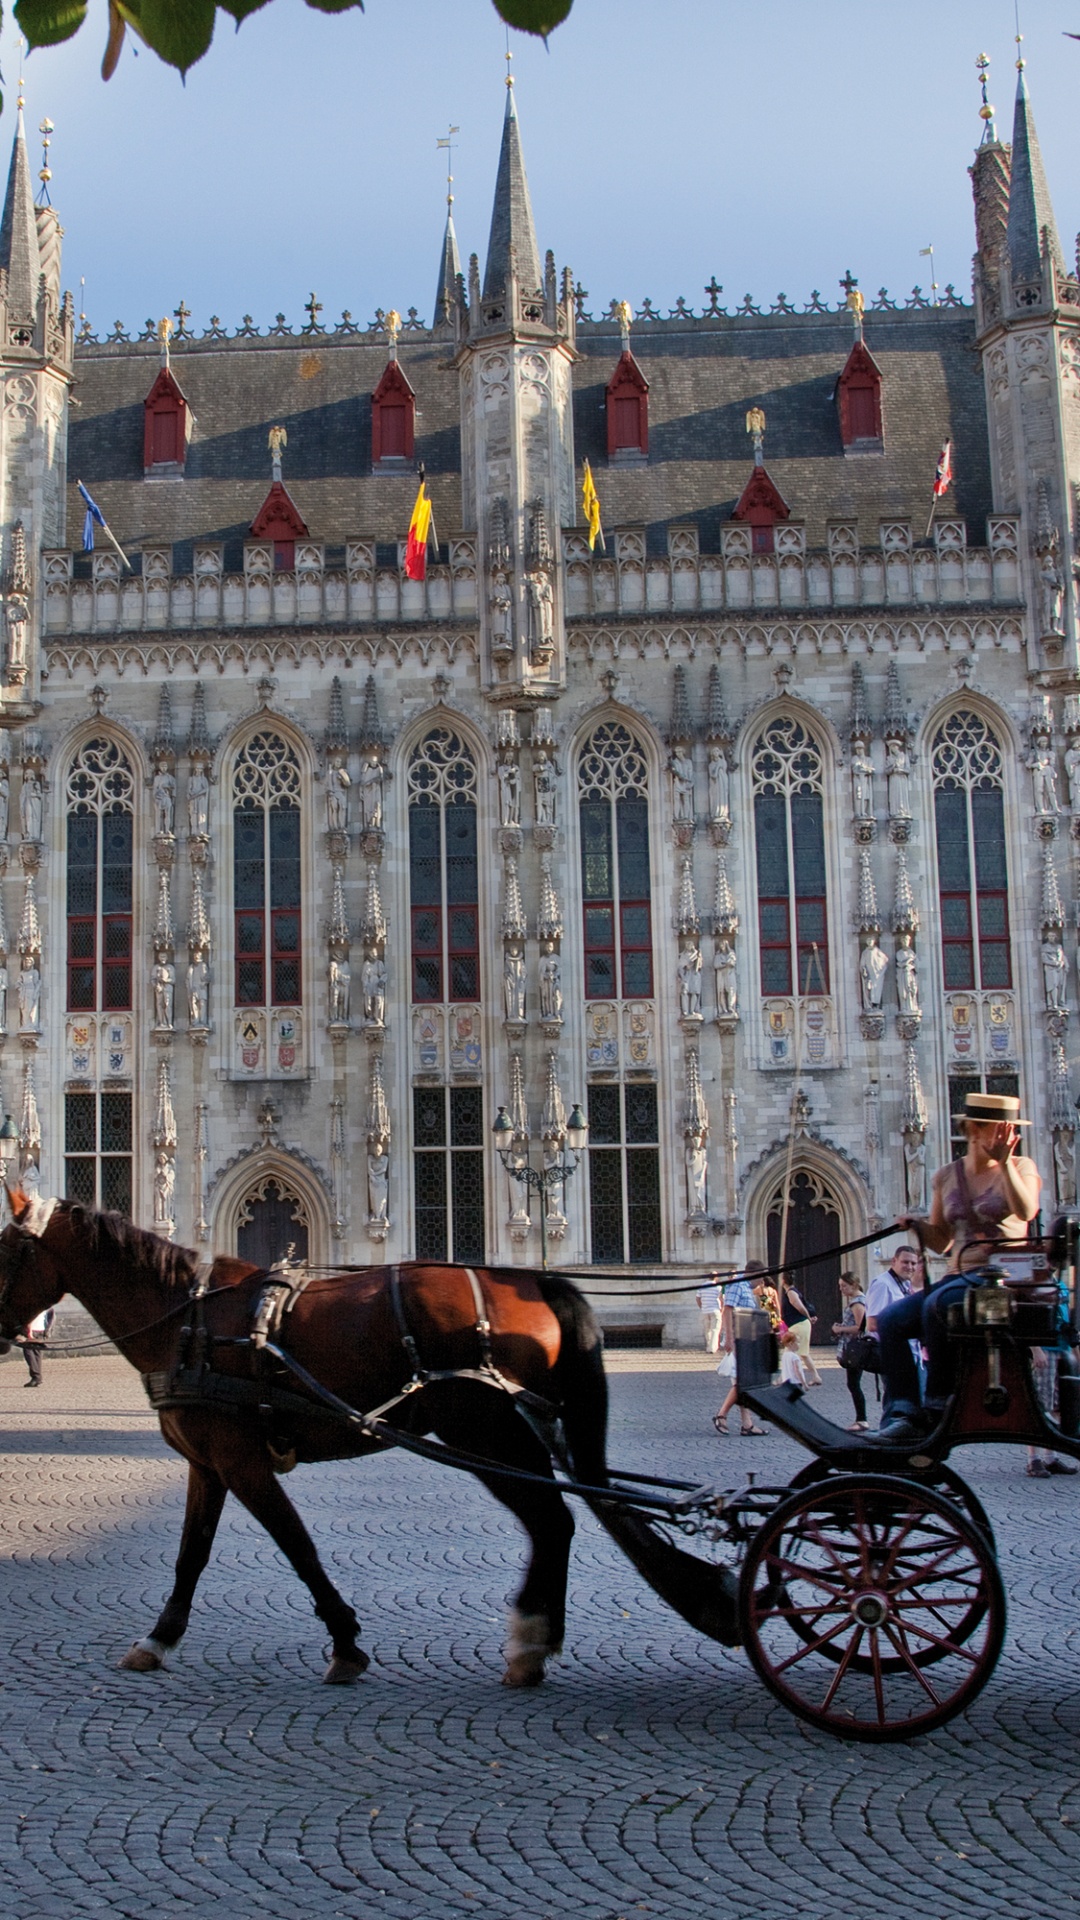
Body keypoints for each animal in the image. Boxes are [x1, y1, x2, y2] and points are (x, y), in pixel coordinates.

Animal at [0, 1191, 738, 1686]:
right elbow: (192, 1556)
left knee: (552, 1519)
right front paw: (159, 1640)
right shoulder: (207, 1464)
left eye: (9, 1249)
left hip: (486, 1432)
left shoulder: (241, 1462)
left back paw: (529, 1641)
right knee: (557, 1519)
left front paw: (347, 1643)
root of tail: (533, 1277)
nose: (3, 1331)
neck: (190, 1319)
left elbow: (297, 1547)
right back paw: (534, 1644)